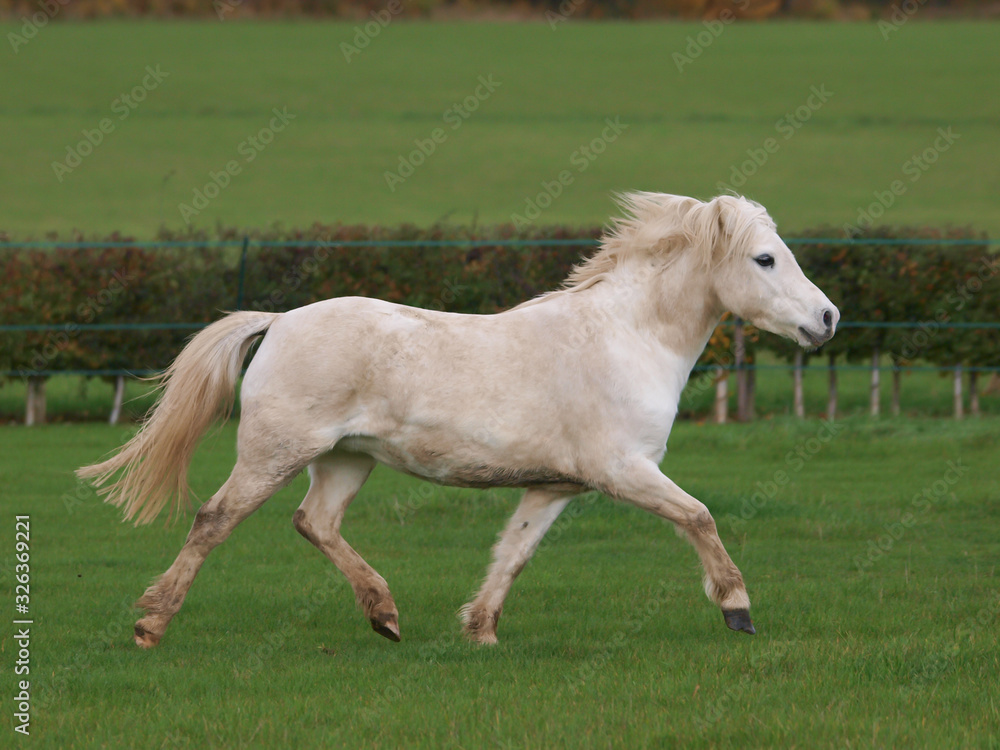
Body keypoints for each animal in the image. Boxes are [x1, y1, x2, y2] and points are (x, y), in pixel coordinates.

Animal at [77, 192, 838, 649]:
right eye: (765, 258)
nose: (827, 319)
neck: (628, 337)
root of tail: (281, 320)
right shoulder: (626, 471)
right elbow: (700, 517)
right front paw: (737, 609)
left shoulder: (556, 486)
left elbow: (515, 553)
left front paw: (481, 629)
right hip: (276, 452)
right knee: (214, 520)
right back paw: (151, 624)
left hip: (346, 459)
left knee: (314, 523)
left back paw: (385, 615)